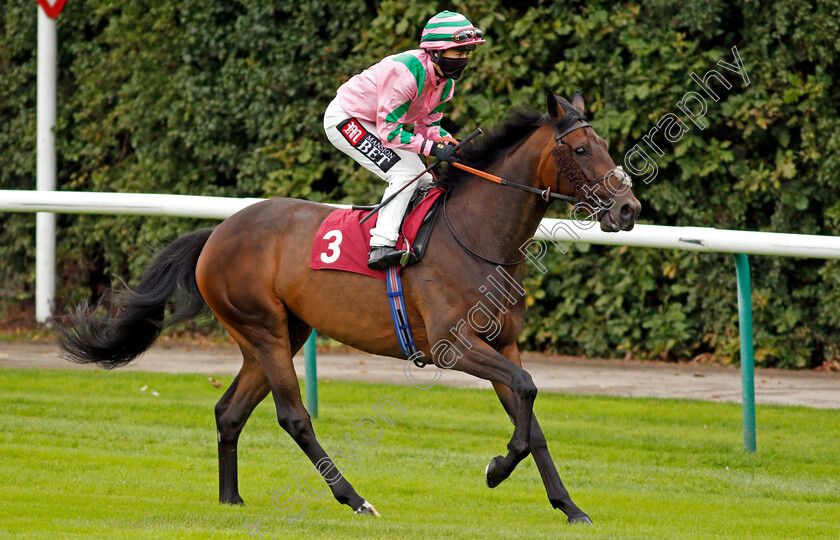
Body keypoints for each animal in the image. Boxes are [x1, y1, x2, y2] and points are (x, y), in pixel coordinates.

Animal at [55, 92, 640, 524]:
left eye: (607, 144)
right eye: (581, 150)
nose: (628, 208)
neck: (477, 235)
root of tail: (218, 232)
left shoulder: (503, 342)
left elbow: (530, 414)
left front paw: (570, 506)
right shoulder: (453, 346)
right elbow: (526, 391)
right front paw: (497, 468)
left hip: (276, 335)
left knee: (229, 411)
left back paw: (231, 499)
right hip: (265, 331)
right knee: (294, 416)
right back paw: (355, 499)